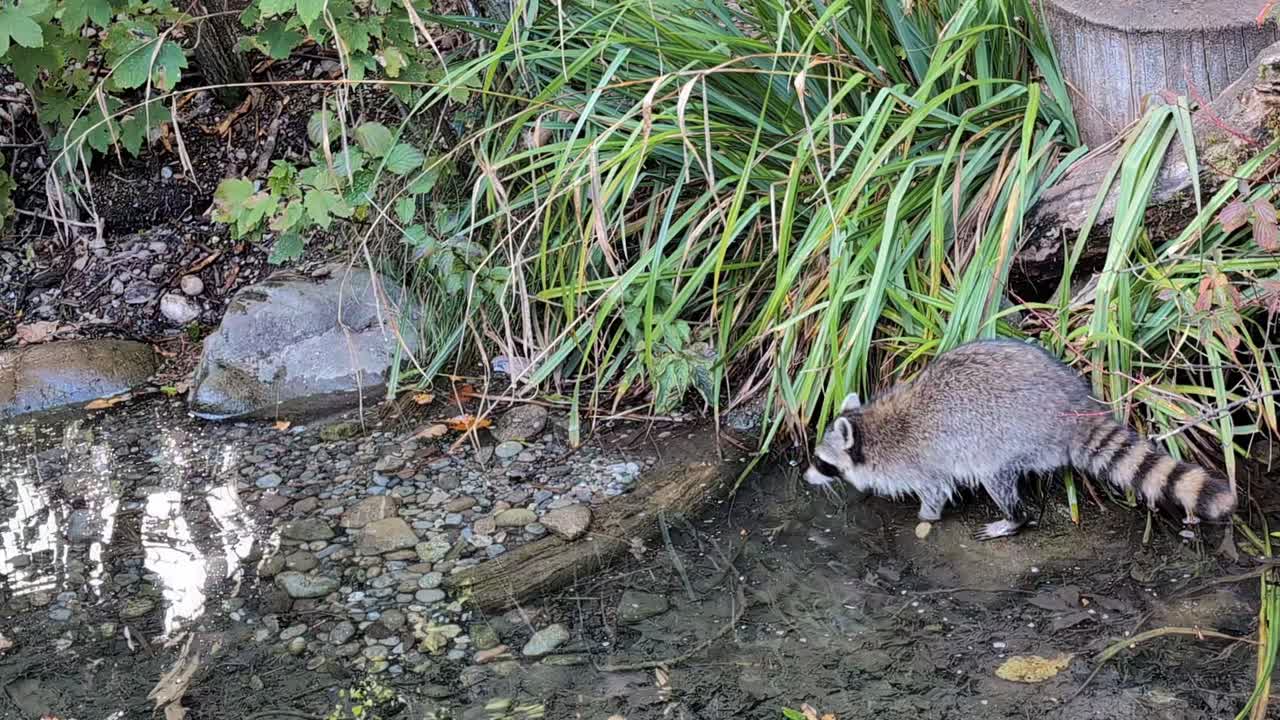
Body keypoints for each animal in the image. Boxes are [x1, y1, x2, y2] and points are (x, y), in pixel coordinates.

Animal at [804, 338, 1237, 539]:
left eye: (822, 461)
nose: (806, 477)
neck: (869, 428)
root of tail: (1074, 408)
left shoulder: (919, 463)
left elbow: (935, 492)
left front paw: (925, 516)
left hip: (1007, 438)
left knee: (995, 477)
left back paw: (1014, 518)